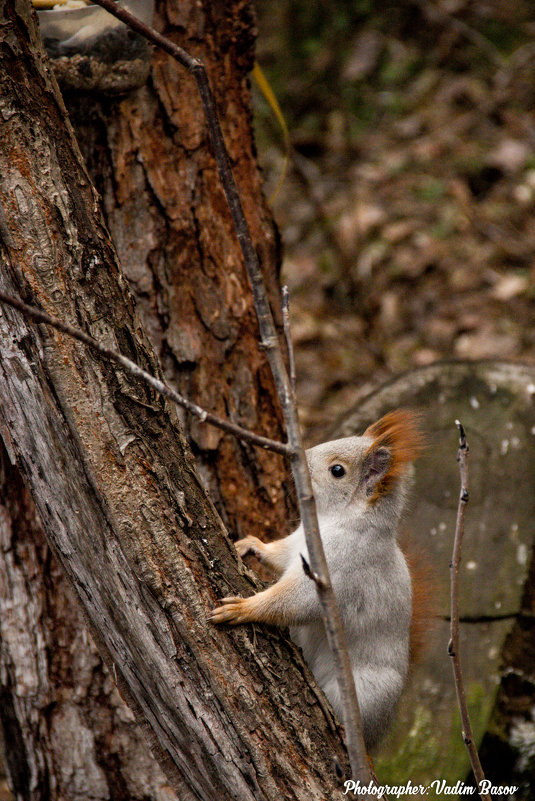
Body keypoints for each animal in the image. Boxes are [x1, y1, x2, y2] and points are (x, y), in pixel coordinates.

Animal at [209, 412, 428, 752]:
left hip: (364, 691)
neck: (333, 521)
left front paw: (243, 608)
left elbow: (299, 601)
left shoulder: (340, 569)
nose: (297, 458)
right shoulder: (297, 545)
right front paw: (251, 545)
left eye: (337, 471)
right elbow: (279, 555)